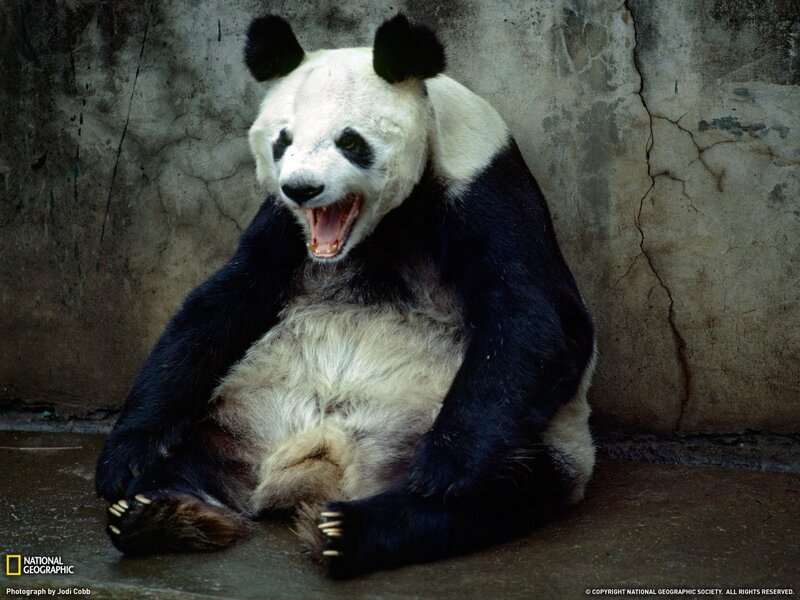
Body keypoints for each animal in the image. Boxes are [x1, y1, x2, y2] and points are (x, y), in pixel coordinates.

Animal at [95, 14, 596, 577]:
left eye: (350, 141)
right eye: (283, 141)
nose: (302, 188)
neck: (382, 226)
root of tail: (325, 463)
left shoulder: (484, 185)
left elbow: (536, 319)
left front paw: (445, 466)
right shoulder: (282, 226)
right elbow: (220, 304)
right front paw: (122, 459)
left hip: (536, 440)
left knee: (498, 490)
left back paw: (349, 529)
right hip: (237, 417)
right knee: (187, 459)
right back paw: (157, 512)